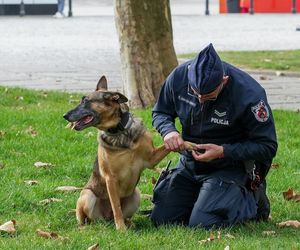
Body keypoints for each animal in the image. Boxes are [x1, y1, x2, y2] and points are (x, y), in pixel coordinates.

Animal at [63, 75, 196, 230]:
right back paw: (89, 227)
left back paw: (130, 223)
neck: (120, 131)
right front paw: (120, 229)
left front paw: (192, 144)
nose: (65, 115)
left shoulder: (151, 159)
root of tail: (106, 219)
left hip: (136, 195)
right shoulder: (110, 178)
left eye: (85, 101)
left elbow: (170, 144)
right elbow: (116, 207)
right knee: (88, 218)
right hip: (87, 195)